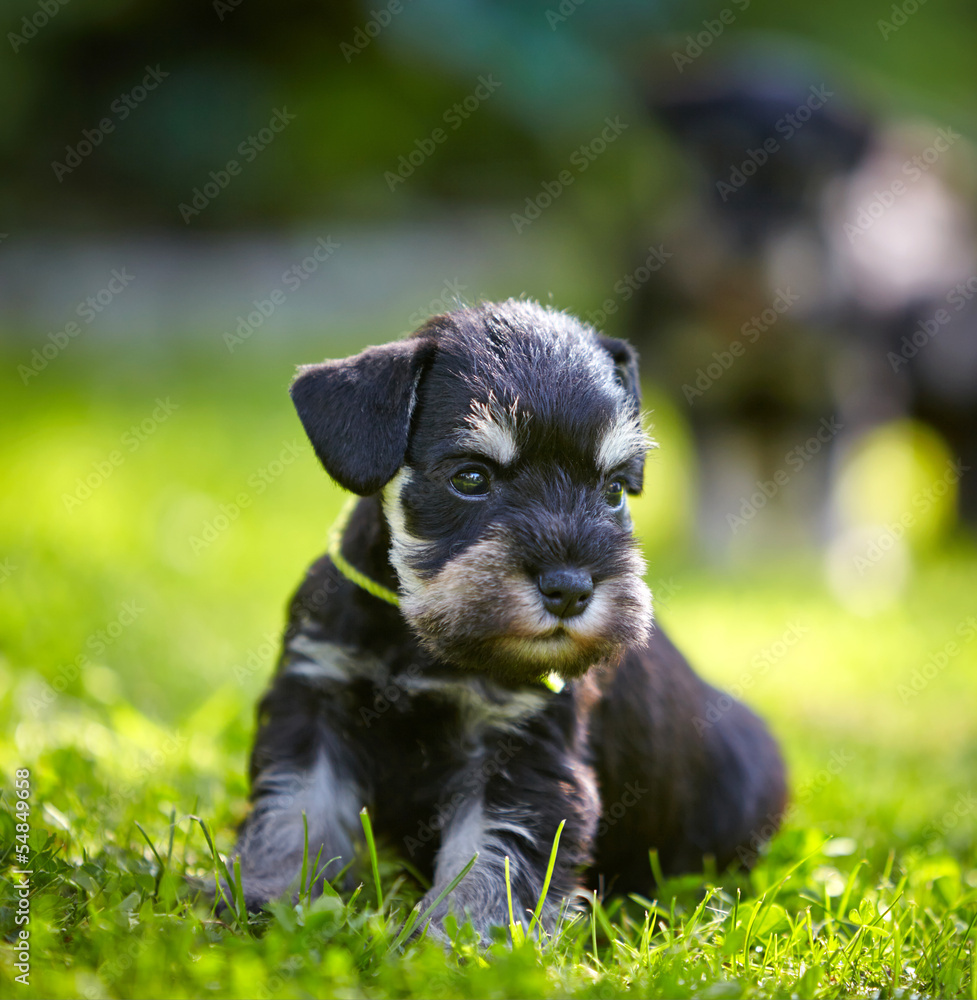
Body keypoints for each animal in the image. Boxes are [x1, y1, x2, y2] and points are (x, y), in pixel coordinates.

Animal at [233, 296, 788, 936]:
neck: (423, 643)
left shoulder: (524, 753)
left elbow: (491, 854)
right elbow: (296, 809)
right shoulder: (314, 701)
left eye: (613, 490)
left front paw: (465, 938)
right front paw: (263, 897)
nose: (570, 589)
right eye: (472, 476)